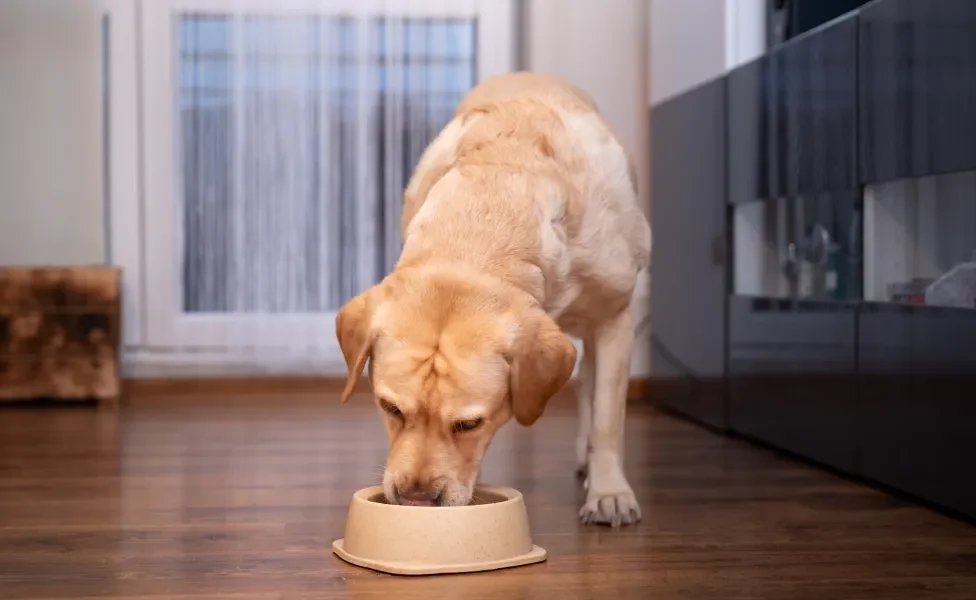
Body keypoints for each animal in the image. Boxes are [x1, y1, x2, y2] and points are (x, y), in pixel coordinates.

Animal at [340, 70, 652, 524]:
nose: (415, 500)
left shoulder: (614, 314)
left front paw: (610, 491)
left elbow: (608, 418)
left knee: (592, 385)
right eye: (390, 408)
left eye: (469, 424)